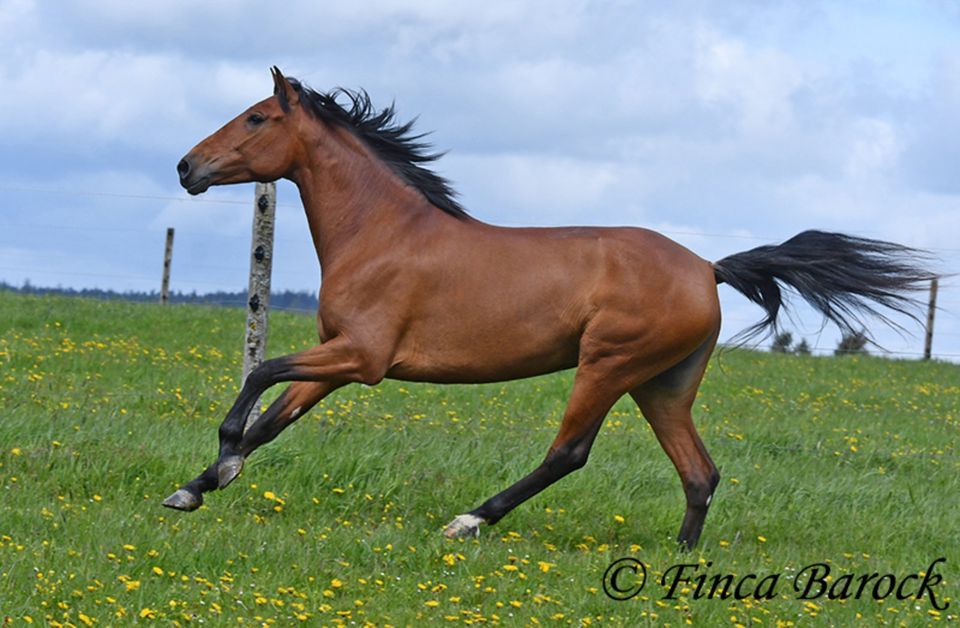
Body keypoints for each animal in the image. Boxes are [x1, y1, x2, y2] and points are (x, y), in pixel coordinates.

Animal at [163, 70, 928, 548]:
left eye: (257, 117)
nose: (185, 167)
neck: (383, 233)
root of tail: (707, 268)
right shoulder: (336, 360)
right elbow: (272, 421)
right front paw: (197, 488)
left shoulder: (363, 357)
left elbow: (260, 379)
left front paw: (218, 463)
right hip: (664, 385)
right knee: (699, 473)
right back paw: (679, 564)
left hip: (609, 365)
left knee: (570, 452)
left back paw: (470, 521)